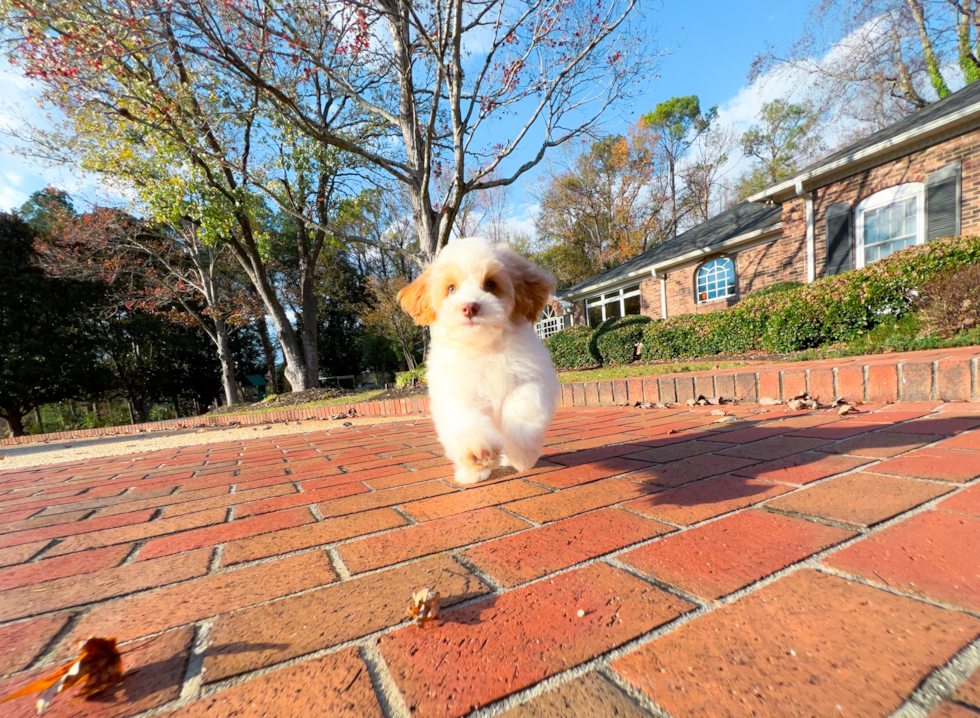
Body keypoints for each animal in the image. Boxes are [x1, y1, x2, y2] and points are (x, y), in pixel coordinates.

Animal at [396, 239, 560, 486]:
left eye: (491, 285)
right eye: (451, 288)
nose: (469, 307)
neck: (483, 347)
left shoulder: (531, 377)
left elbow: (521, 405)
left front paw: (522, 455)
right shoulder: (455, 392)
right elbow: (466, 420)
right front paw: (478, 452)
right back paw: (472, 472)